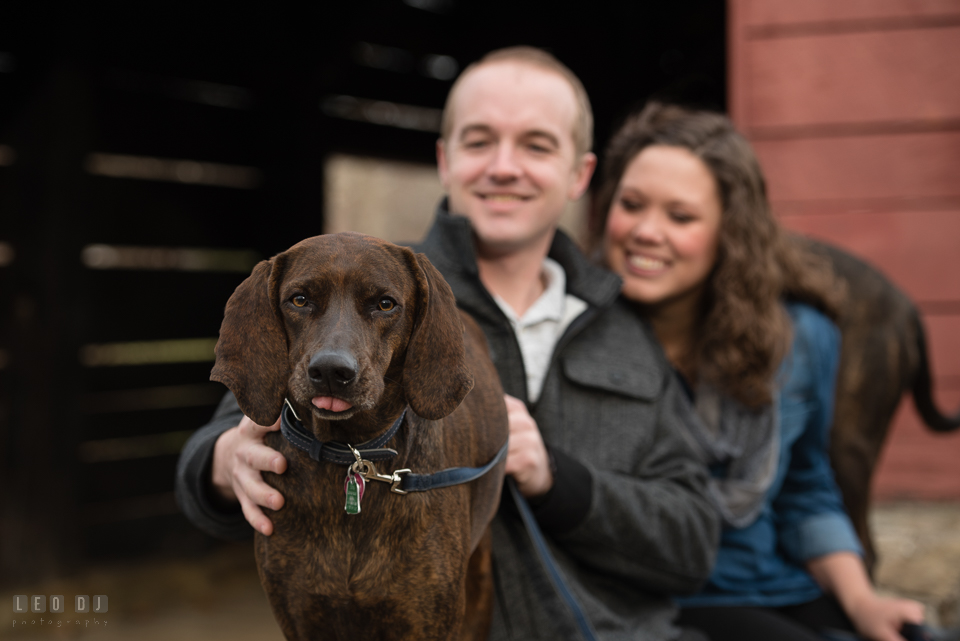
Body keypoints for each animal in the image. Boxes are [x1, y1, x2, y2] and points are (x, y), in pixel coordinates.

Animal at [210, 232, 510, 640]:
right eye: (299, 299)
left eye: (385, 304)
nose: (331, 370)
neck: (349, 450)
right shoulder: (301, 616)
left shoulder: (426, 619)